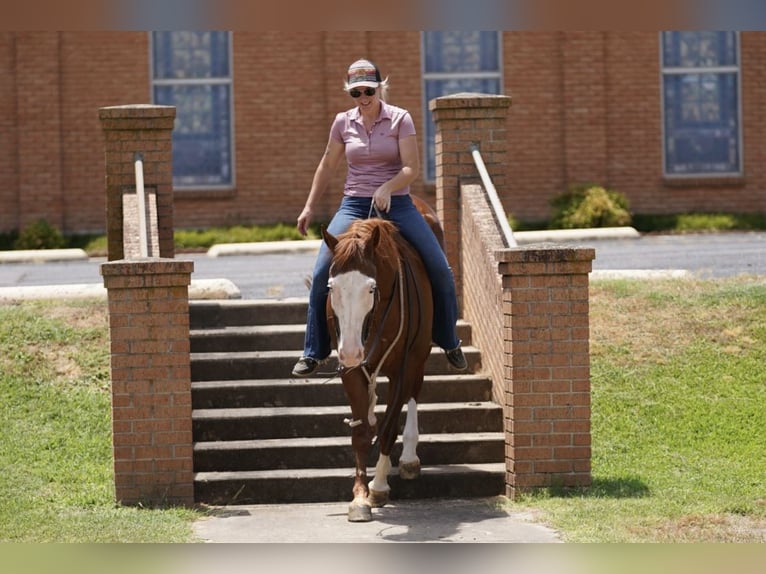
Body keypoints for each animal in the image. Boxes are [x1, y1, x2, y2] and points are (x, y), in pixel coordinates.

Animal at [320, 197, 440, 520]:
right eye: (331, 287)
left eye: (371, 288)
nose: (351, 350)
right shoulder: (350, 370)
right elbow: (362, 432)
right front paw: (359, 498)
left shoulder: (403, 367)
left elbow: (388, 428)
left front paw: (378, 487)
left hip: (419, 355)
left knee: (414, 394)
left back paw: (409, 457)